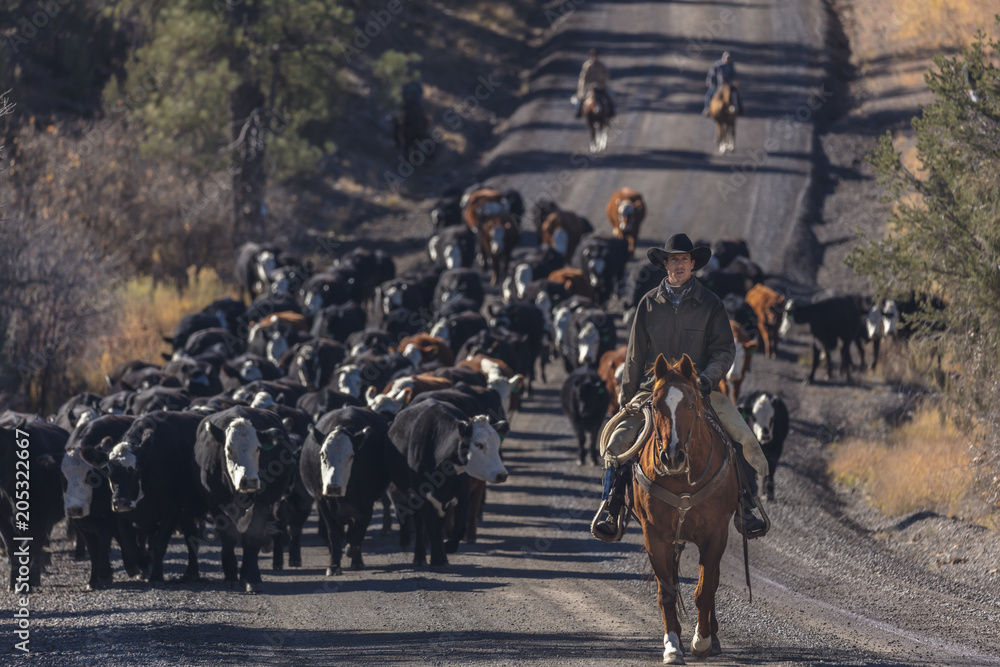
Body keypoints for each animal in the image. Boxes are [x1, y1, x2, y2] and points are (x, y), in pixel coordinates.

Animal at [298, 404, 392, 576]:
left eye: (351, 456)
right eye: (322, 454)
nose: (333, 487)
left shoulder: (367, 504)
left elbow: (357, 532)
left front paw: (352, 553)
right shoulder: (323, 502)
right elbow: (334, 534)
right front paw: (334, 565)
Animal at [636, 352, 740, 664]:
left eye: (691, 404)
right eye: (655, 404)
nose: (672, 456)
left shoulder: (715, 534)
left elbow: (705, 590)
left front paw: (701, 641)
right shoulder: (655, 535)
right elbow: (667, 592)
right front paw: (672, 646)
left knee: (712, 582)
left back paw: (712, 637)